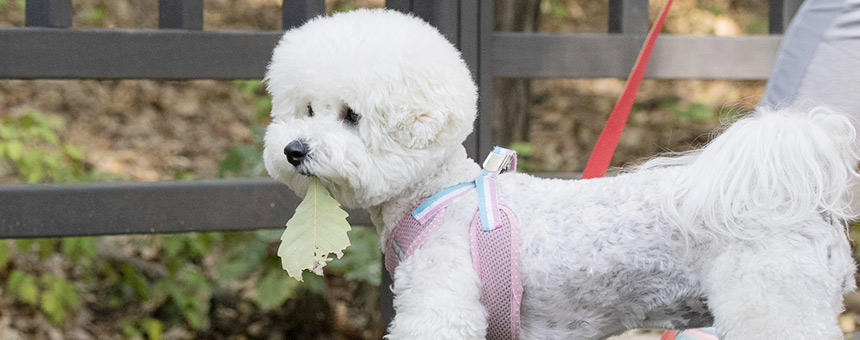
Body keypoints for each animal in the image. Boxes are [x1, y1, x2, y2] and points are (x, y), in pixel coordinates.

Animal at [264, 8, 860, 340]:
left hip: (777, 307)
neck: (436, 196)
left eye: (351, 115)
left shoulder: (442, 310)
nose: (293, 150)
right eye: (304, 109)